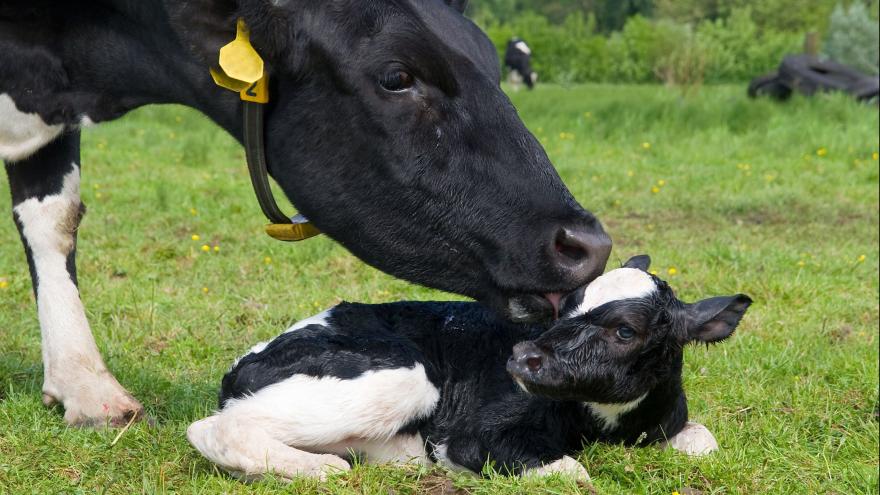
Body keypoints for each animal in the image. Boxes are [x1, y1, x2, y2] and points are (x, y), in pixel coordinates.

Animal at [186, 258, 748, 482]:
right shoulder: (470, 436)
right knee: (213, 427)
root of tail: (244, 363)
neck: (605, 425)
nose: (523, 356)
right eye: (567, 305)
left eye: (625, 331)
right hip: (404, 377)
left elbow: (704, 440)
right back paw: (321, 470)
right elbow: (571, 471)